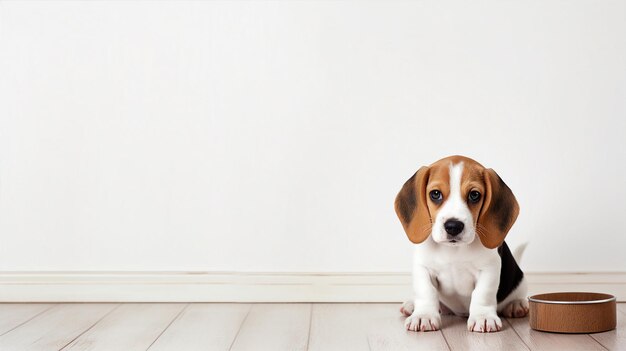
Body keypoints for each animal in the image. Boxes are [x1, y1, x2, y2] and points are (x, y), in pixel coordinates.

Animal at [394, 156, 528, 332]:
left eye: (474, 195)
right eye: (435, 194)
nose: (453, 226)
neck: (454, 250)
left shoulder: (489, 268)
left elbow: (483, 293)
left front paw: (483, 317)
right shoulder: (423, 267)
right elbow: (426, 292)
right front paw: (424, 315)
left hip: (520, 280)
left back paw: (516, 304)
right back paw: (411, 305)